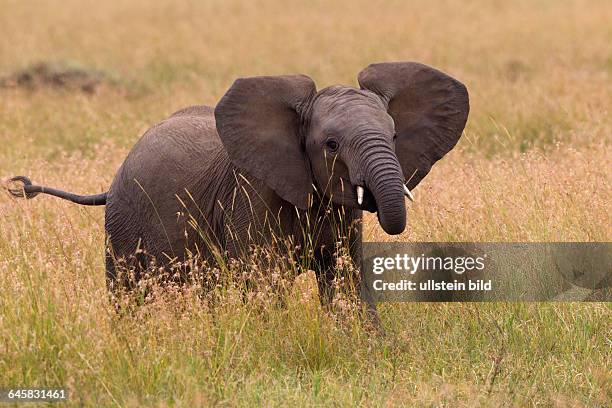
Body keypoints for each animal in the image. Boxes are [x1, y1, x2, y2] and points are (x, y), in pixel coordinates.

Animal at [5, 61, 468, 322]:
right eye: (331, 145)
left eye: (394, 136)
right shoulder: (250, 194)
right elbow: (262, 280)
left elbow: (345, 280)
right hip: (122, 223)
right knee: (128, 294)